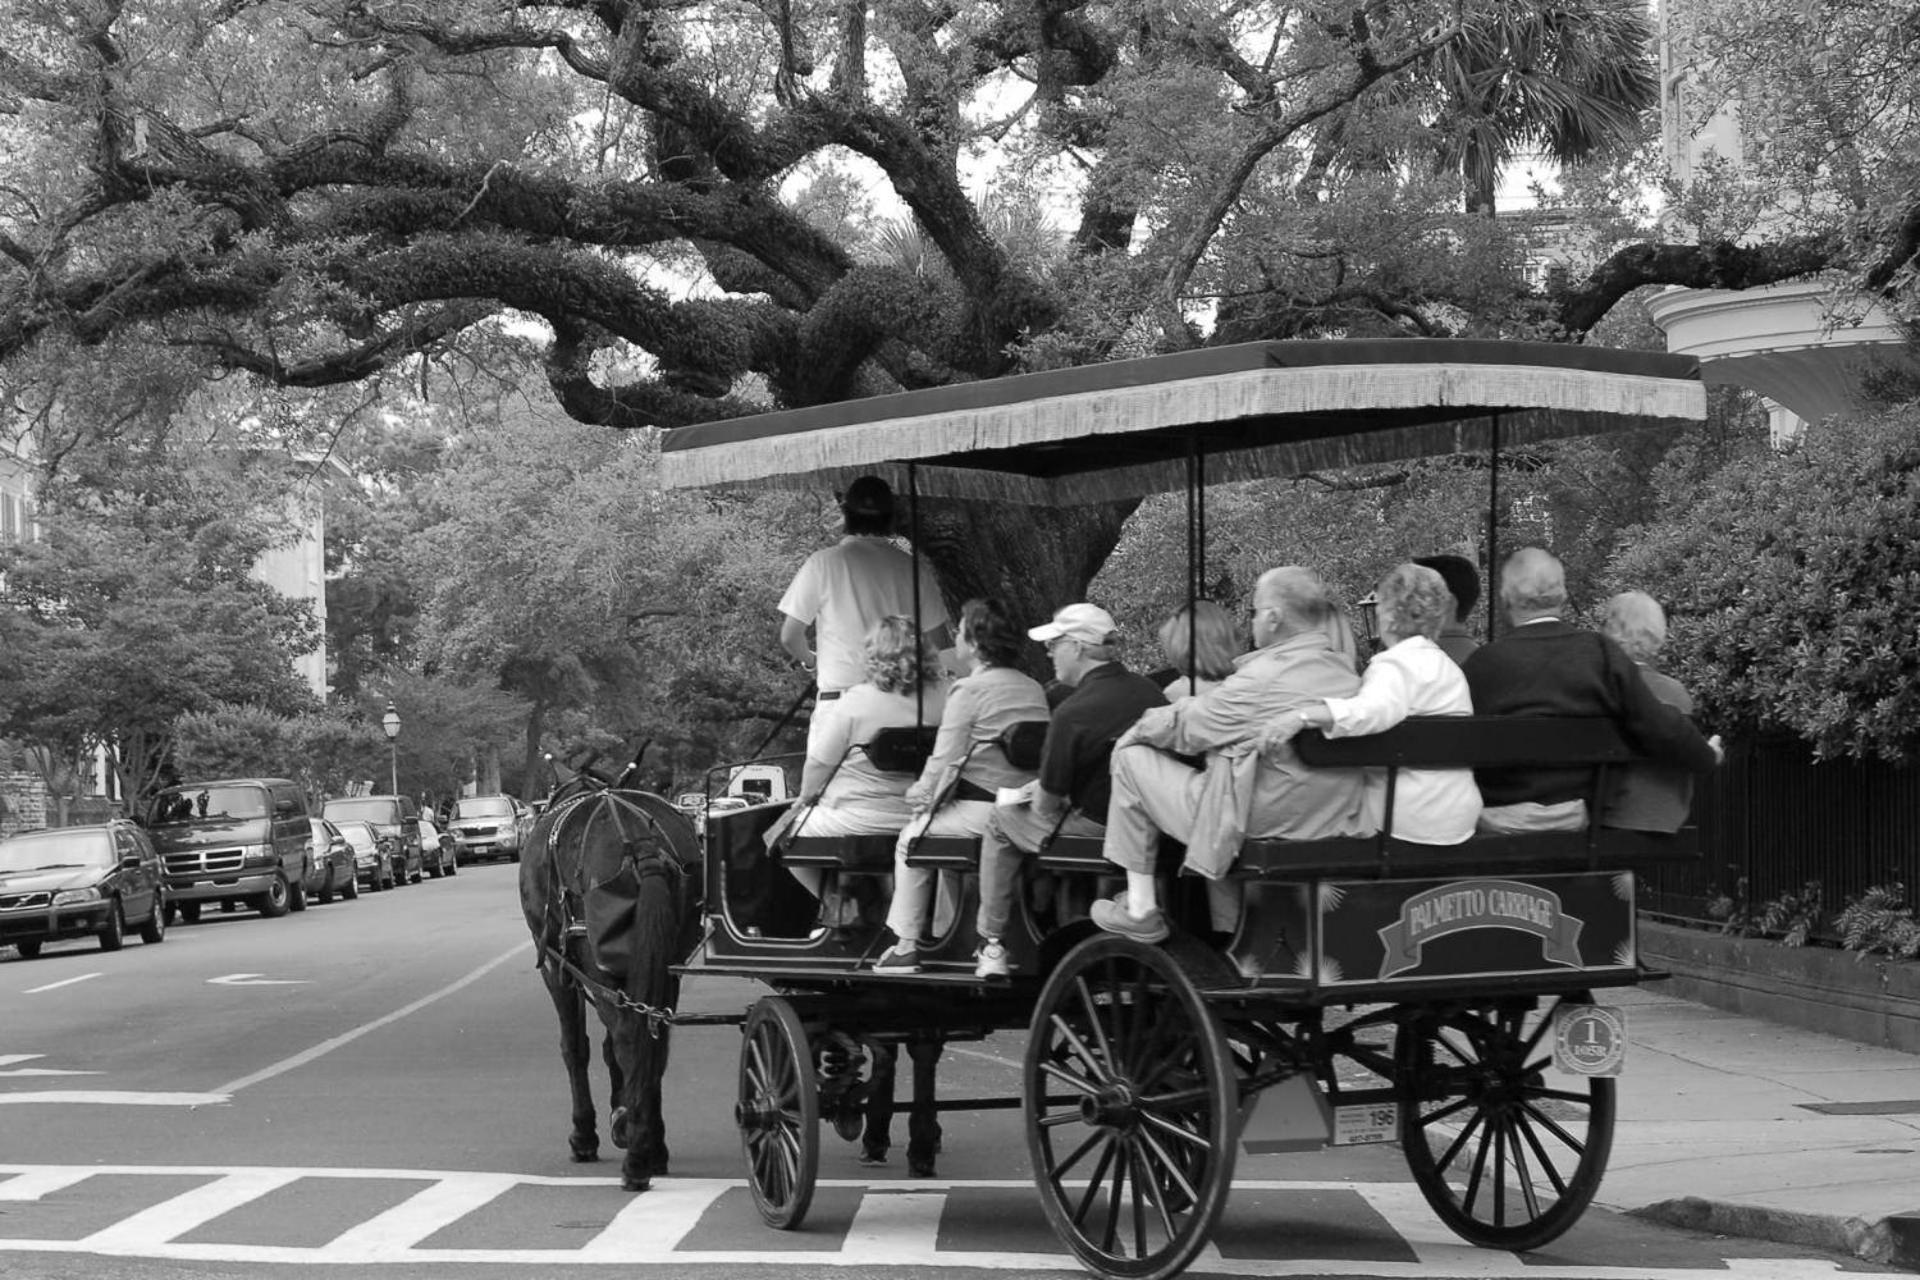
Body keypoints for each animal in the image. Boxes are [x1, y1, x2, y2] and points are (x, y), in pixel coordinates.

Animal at [518, 767, 706, 1197]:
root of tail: (642, 844)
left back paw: (636, 1159)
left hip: (594, 962)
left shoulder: (556, 967)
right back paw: (653, 1145)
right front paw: (624, 1111)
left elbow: (576, 1048)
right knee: (653, 1039)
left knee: (628, 1037)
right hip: (663, 962)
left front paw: (585, 1134)